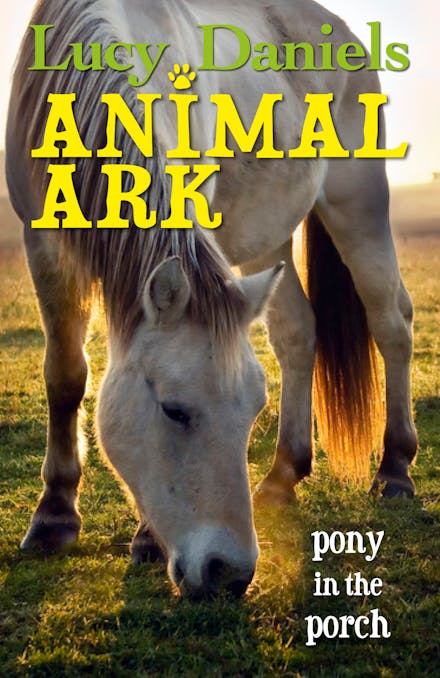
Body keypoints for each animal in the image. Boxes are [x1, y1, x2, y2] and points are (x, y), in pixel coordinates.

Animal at [6, 0, 417, 598]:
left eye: (252, 410)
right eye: (174, 410)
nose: (230, 572)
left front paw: (145, 540)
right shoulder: (43, 242)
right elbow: (64, 375)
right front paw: (54, 517)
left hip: (357, 204)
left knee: (391, 323)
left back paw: (396, 469)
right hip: (269, 241)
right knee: (297, 333)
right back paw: (283, 475)